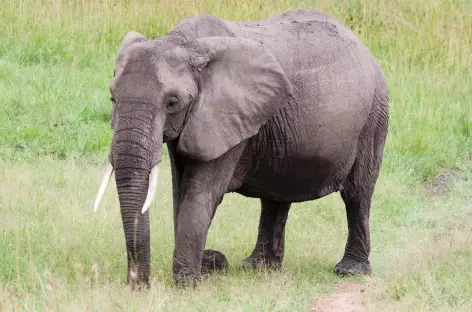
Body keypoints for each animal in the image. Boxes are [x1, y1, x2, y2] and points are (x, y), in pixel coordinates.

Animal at [93, 7, 390, 290]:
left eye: (172, 102)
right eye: (112, 98)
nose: (139, 286)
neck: (184, 43)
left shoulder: (225, 117)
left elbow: (200, 193)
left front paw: (187, 285)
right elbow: (180, 190)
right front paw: (206, 265)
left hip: (374, 117)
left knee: (357, 193)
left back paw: (349, 271)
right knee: (276, 194)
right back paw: (258, 267)